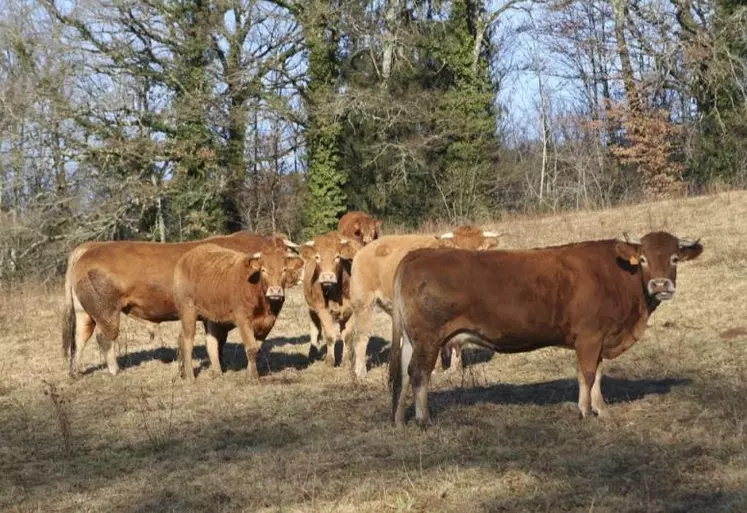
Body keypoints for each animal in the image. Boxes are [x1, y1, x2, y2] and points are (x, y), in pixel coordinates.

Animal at [61, 232, 296, 376]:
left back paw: (76, 372)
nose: (277, 290)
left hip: (85, 313)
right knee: (105, 338)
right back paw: (114, 370)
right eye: (265, 269)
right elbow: (218, 342)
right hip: (107, 311)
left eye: (285, 265)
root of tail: (90, 247)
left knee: (80, 338)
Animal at [302, 230, 364, 366]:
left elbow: (348, 336)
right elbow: (330, 335)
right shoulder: (321, 310)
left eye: (337, 257)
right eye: (317, 257)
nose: (327, 277)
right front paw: (329, 360)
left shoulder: (352, 309)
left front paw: (346, 360)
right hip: (311, 310)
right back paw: (312, 354)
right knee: (315, 329)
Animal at [348, 226, 500, 378]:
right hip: (363, 303)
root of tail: (364, 249)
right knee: (361, 337)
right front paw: (434, 369)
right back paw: (360, 372)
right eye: (457, 250)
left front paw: (455, 370)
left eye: (479, 250)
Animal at [388, 230, 704, 426]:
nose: (661, 285)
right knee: (419, 375)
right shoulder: (589, 337)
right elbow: (587, 374)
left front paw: (601, 409)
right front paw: (585, 411)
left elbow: (598, 374)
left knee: (403, 375)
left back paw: (400, 420)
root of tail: (418, 255)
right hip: (429, 339)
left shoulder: (600, 339)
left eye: (674, 258)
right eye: (644, 259)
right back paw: (423, 419)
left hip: (411, 341)